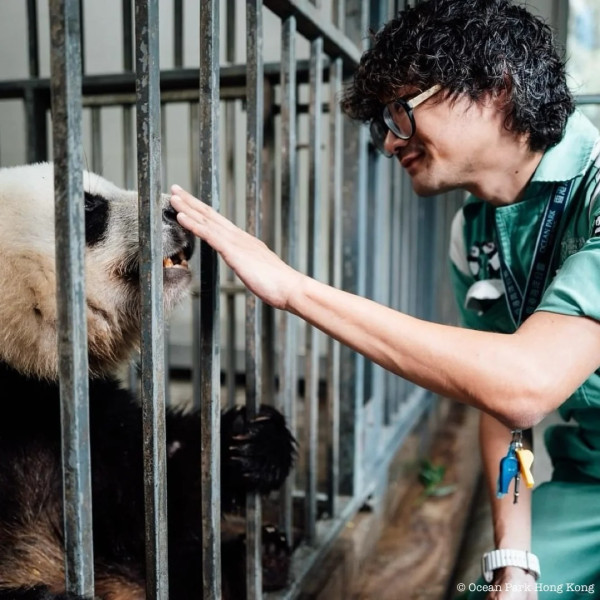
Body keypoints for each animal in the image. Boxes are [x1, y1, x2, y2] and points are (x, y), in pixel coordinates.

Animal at [0, 163, 296, 600]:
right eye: (88, 207)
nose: (173, 211)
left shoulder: (72, 409)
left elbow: (148, 486)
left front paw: (251, 442)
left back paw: (258, 559)